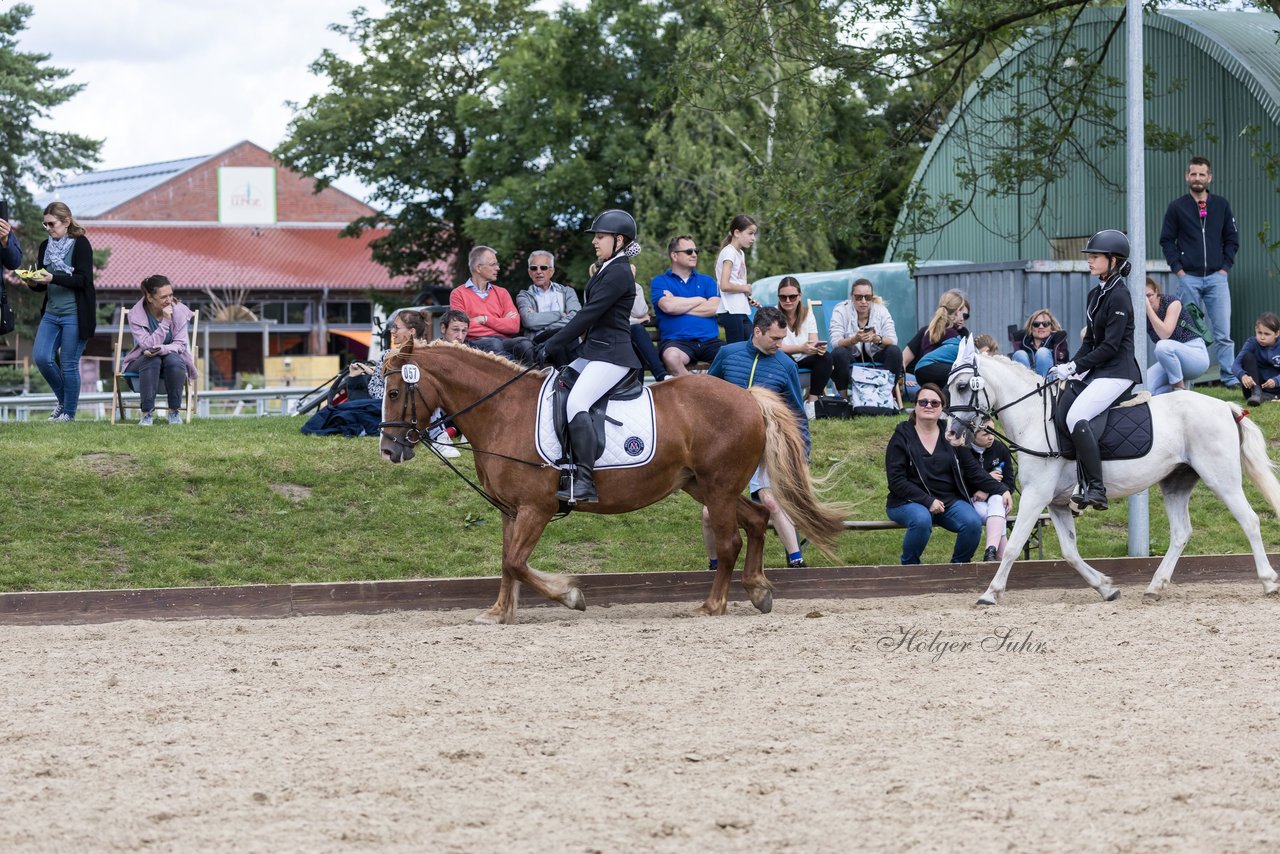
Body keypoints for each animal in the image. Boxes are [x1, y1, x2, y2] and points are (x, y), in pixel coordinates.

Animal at [373, 340, 844, 627]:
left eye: (395, 393)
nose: (389, 450)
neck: (503, 411)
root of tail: (748, 396)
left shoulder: (537, 507)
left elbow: (517, 562)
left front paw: (570, 595)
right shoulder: (511, 509)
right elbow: (507, 561)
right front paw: (499, 613)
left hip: (719, 487)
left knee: (731, 542)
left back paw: (713, 605)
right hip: (705, 486)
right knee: (759, 518)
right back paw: (759, 590)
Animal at [942, 338, 1280, 604]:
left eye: (962, 386)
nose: (951, 435)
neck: (1034, 418)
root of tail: (1225, 407)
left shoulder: (1036, 496)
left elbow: (1013, 545)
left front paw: (990, 593)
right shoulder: (1057, 502)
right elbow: (1069, 552)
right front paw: (1105, 587)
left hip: (1221, 479)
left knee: (1249, 521)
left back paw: (1268, 582)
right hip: (1176, 482)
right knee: (1181, 533)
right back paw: (1155, 588)